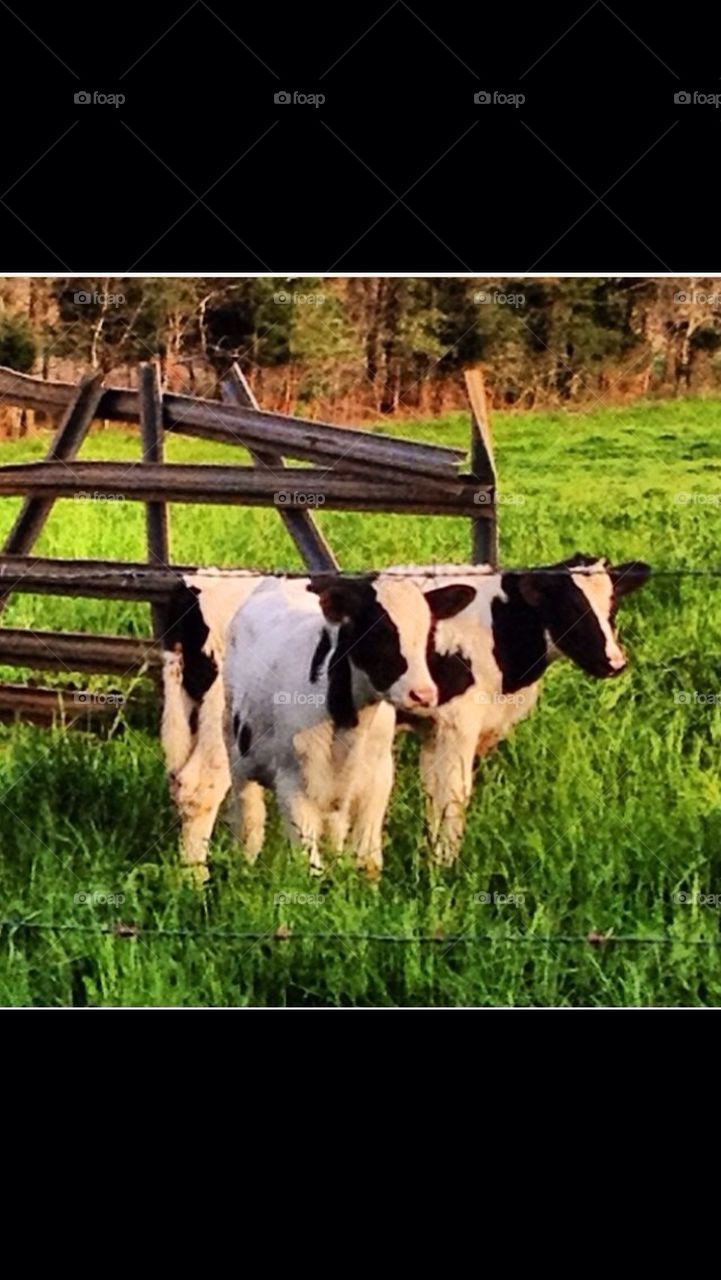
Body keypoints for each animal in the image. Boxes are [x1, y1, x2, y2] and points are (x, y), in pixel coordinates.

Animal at [223, 574, 475, 878]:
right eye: (378, 634)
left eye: (428, 635)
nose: (423, 695)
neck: (347, 722)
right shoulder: (292, 786)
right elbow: (311, 869)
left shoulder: (378, 779)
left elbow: (367, 861)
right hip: (236, 749)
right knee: (249, 820)